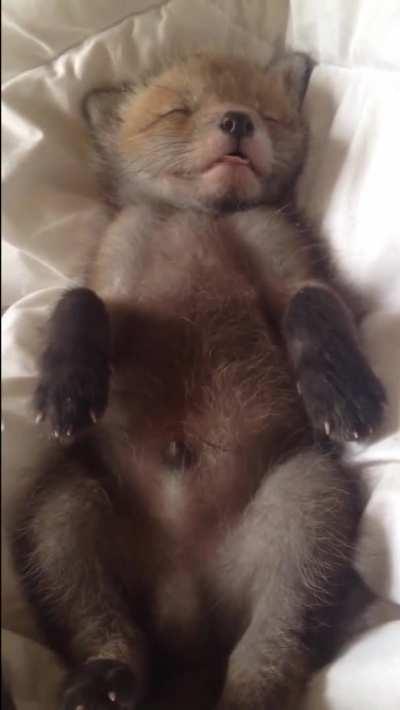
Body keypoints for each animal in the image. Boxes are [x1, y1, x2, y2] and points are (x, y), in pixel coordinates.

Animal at [11, 52, 386, 710]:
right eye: (177, 110)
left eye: (264, 112)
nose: (236, 121)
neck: (200, 219)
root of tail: (185, 614)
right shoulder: (116, 281)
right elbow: (79, 302)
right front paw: (67, 388)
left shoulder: (288, 264)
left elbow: (314, 307)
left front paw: (342, 389)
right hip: (57, 513)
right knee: (104, 628)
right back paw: (104, 677)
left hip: (307, 500)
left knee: (271, 647)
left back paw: (246, 689)